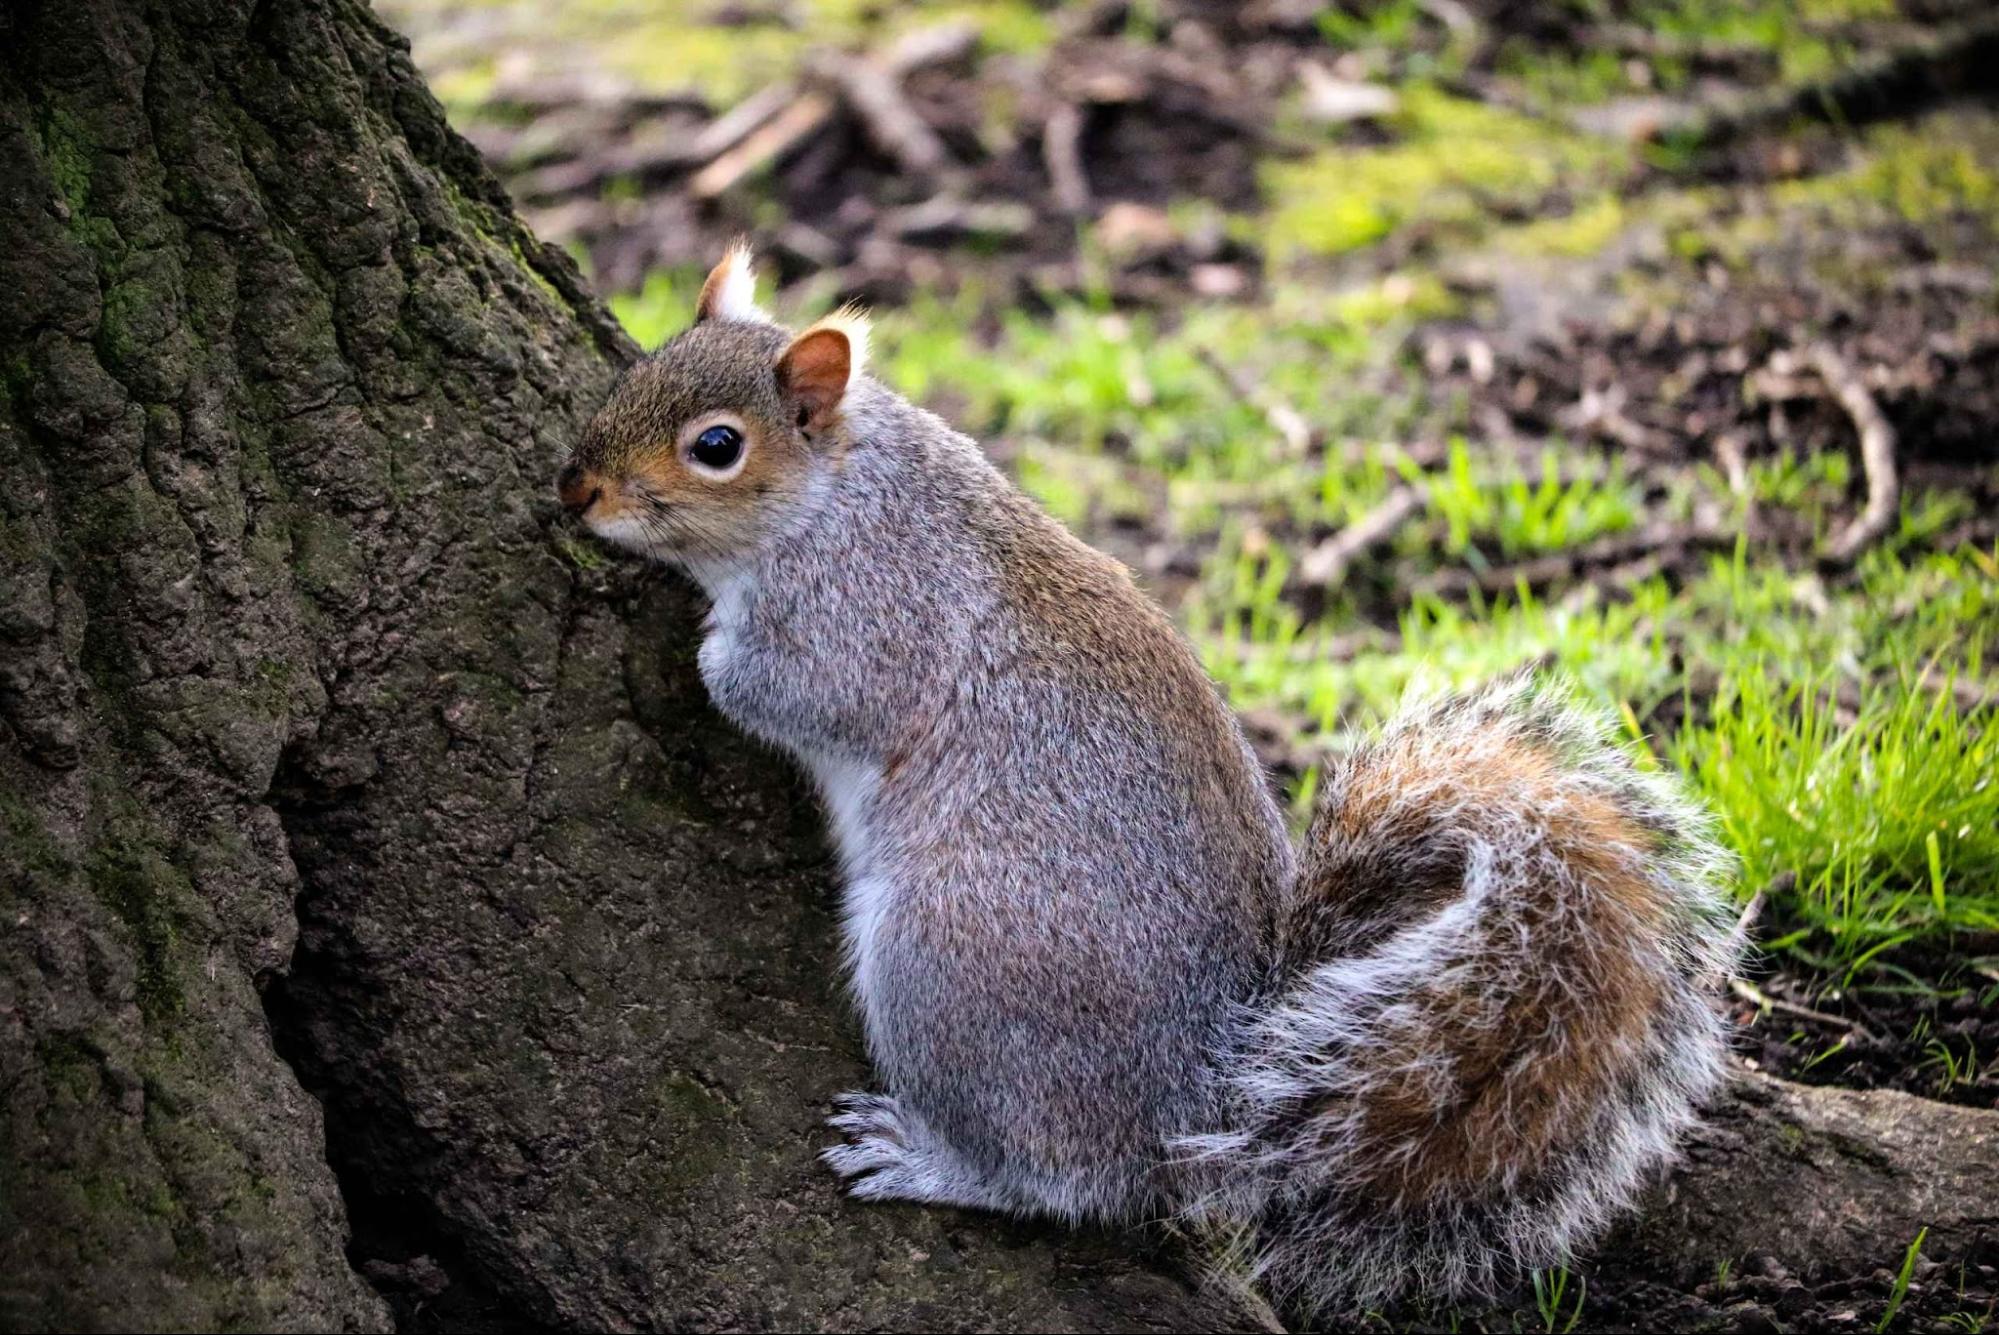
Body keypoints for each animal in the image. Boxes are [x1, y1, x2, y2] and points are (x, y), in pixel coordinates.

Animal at [555, 244, 1741, 1312]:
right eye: (635, 369)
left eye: (716, 447)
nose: (578, 491)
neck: (842, 488)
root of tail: (1193, 1095)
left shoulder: (868, 614)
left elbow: (800, 691)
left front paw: (707, 643)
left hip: (955, 960)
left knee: (1055, 1177)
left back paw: (935, 1159)